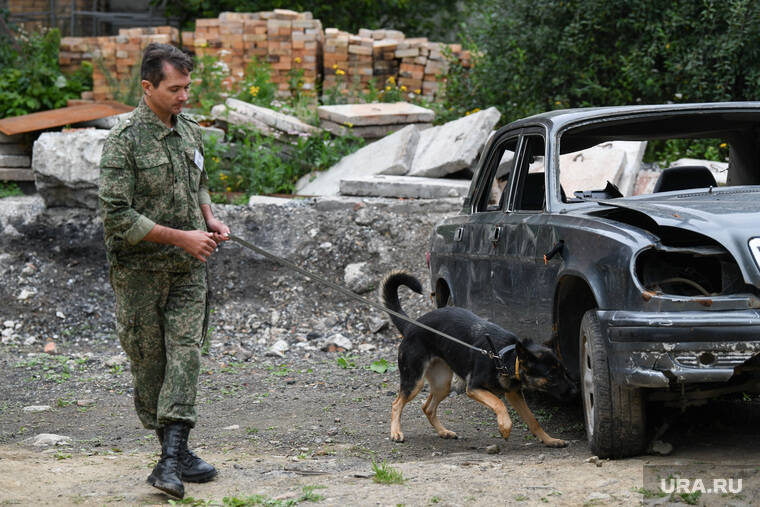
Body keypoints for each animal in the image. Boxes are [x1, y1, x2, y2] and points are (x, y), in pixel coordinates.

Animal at [382, 272, 580, 446]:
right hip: (414, 381)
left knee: (427, 407)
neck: (504, 357)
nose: (575, 391)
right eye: (551, 375)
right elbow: (499, 403)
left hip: (442, 383)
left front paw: (549, 440)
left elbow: (533, 420)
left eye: (564, 371)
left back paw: (443, 432)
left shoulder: (514, 394)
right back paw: (396, 432)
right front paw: (505, 428)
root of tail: (411, 325)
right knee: (396, 403)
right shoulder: (474, 388)